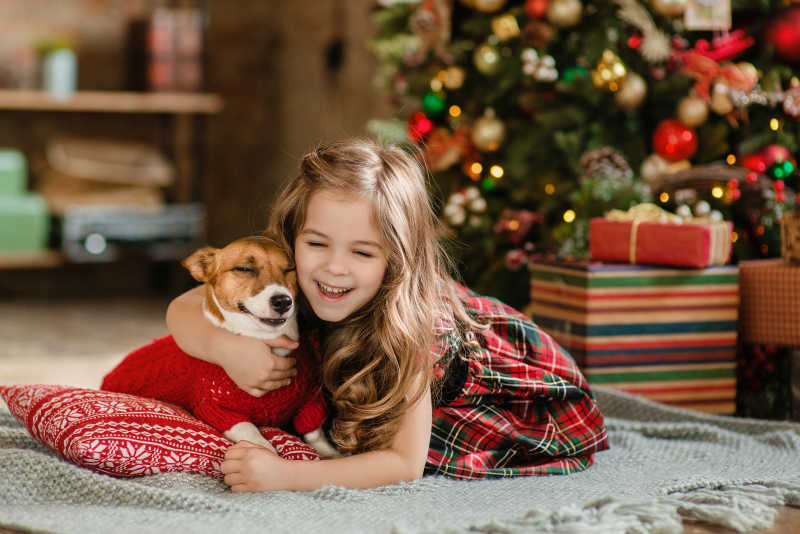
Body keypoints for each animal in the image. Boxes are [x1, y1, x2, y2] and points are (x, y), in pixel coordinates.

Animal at [101, 237, 338, 458]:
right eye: (244, 269)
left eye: (290, 269)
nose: (283, 301)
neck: (266, 341)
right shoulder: (217, 409)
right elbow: (250, 431)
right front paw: (263, 451)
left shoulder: (310, 402)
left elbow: (314, 432)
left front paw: (330, 453)